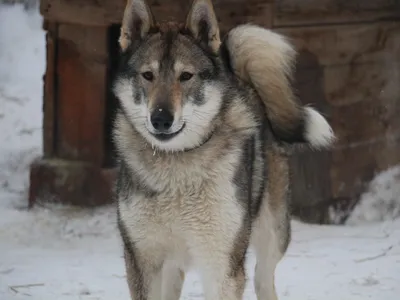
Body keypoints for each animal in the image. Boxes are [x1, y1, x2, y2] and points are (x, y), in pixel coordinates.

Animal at [111, 0, 334, 298]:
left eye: (186, 76)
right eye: (148, 75)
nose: (160, 119)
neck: (177, 166)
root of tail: (243, 81)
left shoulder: (222, 263)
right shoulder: (142, 261)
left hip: (273, 232)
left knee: (263, 277)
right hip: (172, 264)